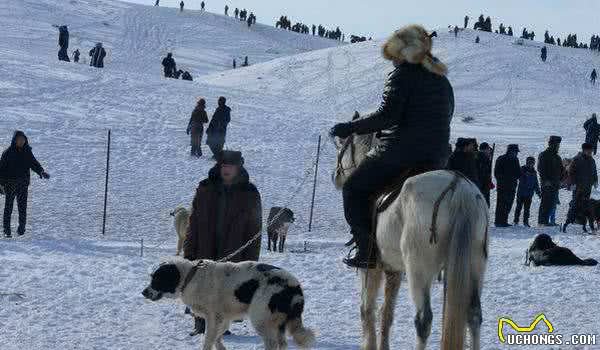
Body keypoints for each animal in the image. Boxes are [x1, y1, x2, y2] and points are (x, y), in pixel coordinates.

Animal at [142, 258, 316, 348]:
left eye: (157, 279)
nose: (143, 292)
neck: (191, 277)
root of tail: (293, 285)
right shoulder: (223, 318)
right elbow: (217, 338)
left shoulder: (213, 318)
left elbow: (209, 339)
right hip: (277, 322)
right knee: (282, 344)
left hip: (260, 318)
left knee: (272, 344)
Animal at [332, 131, 488, 350]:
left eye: (343, 147)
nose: (335, 176)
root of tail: (458, 189)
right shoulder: (393, 270)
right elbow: (386, 312)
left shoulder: (372, 267)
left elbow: (367, 309)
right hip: (475, 266)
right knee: (473, 315)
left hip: (418, 269)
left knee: (423, 320)